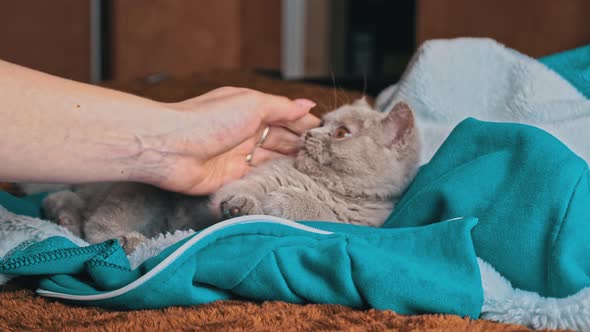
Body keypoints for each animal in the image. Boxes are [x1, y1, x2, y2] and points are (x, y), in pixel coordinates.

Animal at [40, 99, 420, 252]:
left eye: (341, 133)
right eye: (322, 123)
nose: (308, 135)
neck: (324, 185)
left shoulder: (365, 224)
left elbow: (323, 213)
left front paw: (285, 201)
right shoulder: (250, 179)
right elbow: (240, 192)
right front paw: (244, 205)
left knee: (74, 205)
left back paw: (65, 219)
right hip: (140, 190)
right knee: (93, 222)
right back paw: (123, 239)